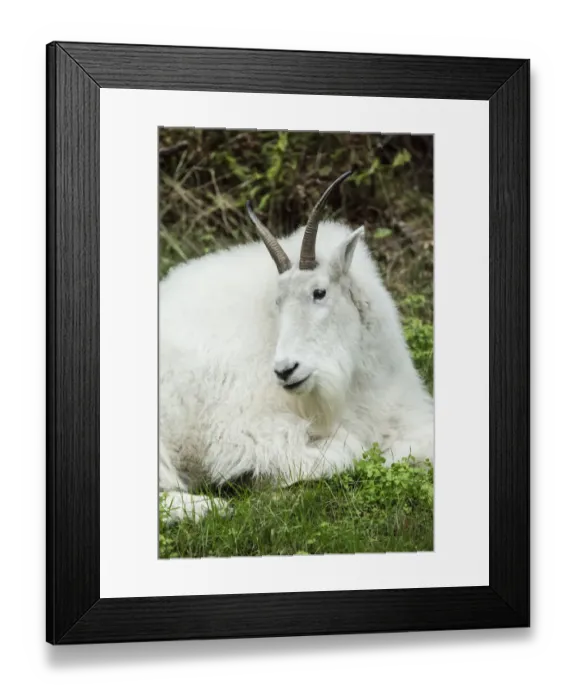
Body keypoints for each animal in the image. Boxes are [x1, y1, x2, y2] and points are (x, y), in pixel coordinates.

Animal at [159, 171, 434, 521]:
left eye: (319, 292)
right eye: (278, 302)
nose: (285, 370)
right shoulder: (247, 434)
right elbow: (347, 451)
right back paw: (213, 506)